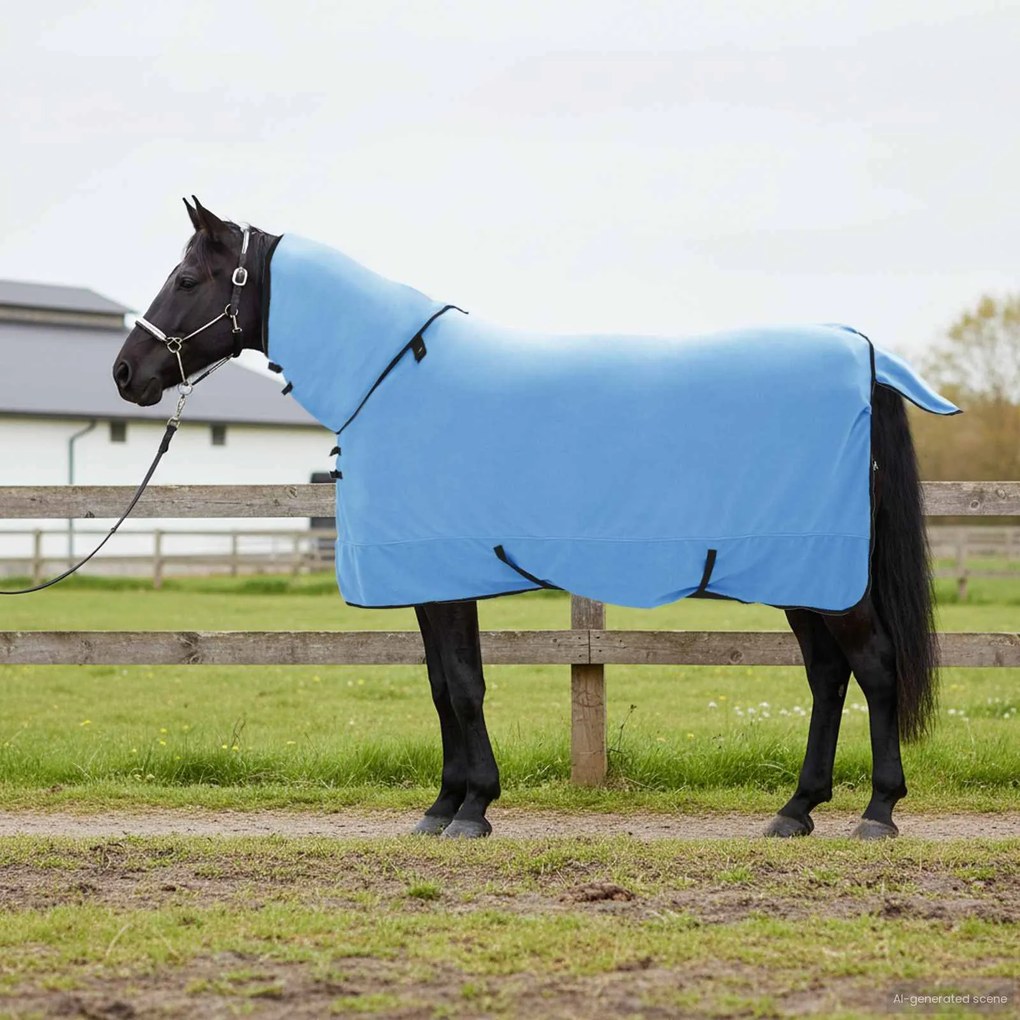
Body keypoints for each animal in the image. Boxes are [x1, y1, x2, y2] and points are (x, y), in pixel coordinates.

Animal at [113, 197, 950, 840]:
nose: (126, 373)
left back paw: (877, 812)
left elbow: (463, 686)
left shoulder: (446, 579)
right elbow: (442, 687)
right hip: (800, 576)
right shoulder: (431, 584)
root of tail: (864, 359)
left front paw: (472, 808)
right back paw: (795, 810)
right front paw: (444, 805)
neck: (393, 376)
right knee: (829, 677)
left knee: (875, 668)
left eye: (187, 277)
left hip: (825, 576)